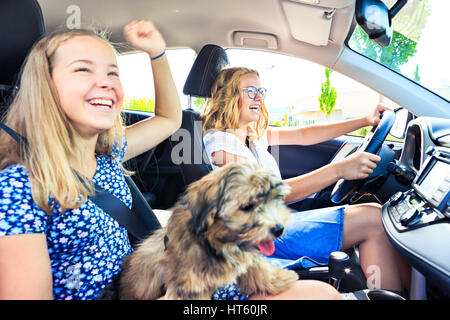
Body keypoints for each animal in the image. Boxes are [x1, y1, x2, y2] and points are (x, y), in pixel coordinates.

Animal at [119, 161, 298, 298]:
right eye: (247, 206)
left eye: (275, 198)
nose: (279, 229)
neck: (215, 241)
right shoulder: (190, 286)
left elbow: (256, 267)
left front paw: (277, 279)